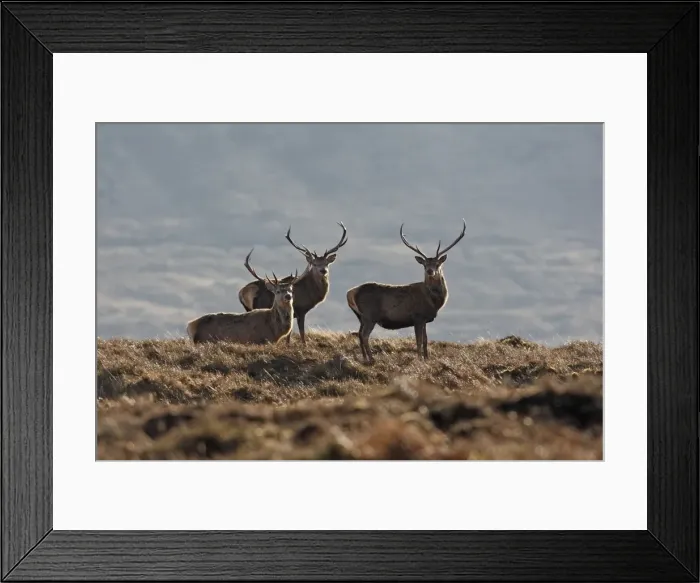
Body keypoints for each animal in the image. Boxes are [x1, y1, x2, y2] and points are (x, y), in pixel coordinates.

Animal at [346, 219, 466, 364]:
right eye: (424, 264)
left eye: (438, 264)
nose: (430, 271)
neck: (434, 302)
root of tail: (351, 293)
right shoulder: (417, 316)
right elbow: (419, 341)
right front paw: (419, 359)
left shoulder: (425, 319)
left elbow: (425, 340)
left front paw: (427, 358)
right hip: (370, 315)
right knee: (364, 335)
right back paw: (372, 359)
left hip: (361, 317)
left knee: (359, 333)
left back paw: (364, 358)